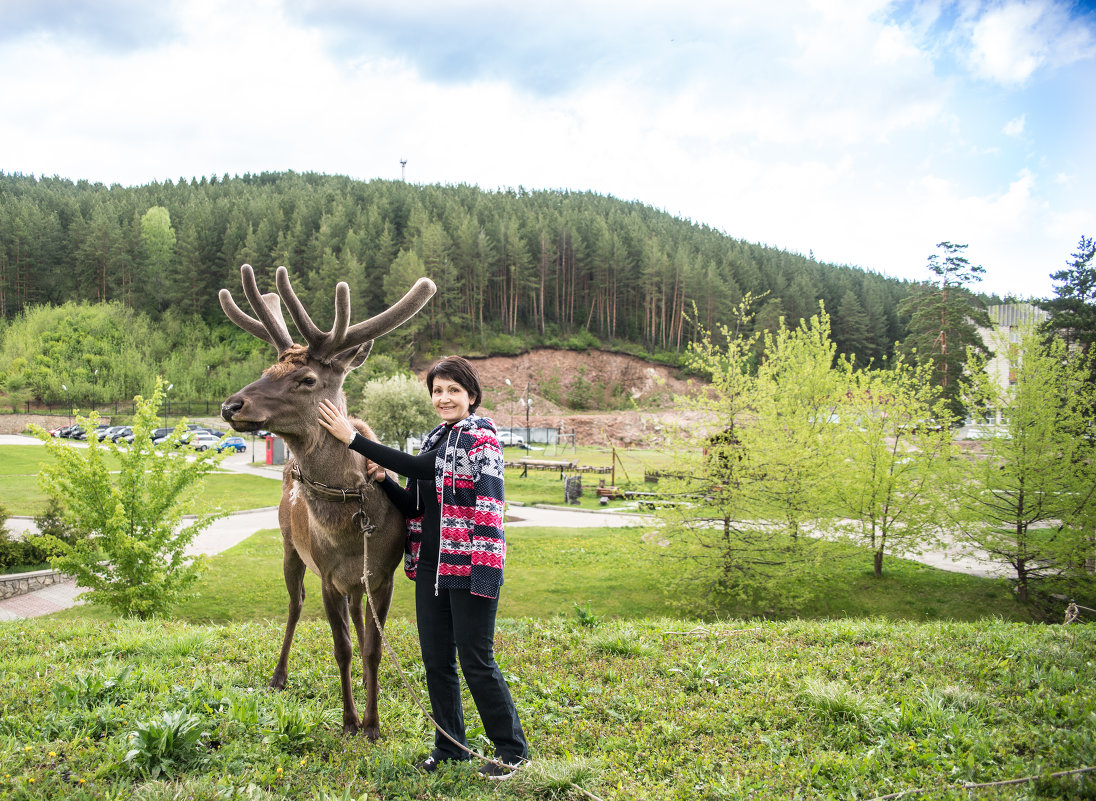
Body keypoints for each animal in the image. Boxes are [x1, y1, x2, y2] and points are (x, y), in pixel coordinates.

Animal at [218, 262, 436, 740]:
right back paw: (279, 675)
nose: (231, 405)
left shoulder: (382, 576)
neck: (349, 533)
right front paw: (350, 720)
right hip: (288, 546)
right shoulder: (328, 576)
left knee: (359, 622)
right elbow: (343, 648)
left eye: (306, 379)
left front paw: (373, 723)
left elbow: (372, 647)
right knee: (295, 605)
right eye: (268, 368)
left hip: (355, 583)